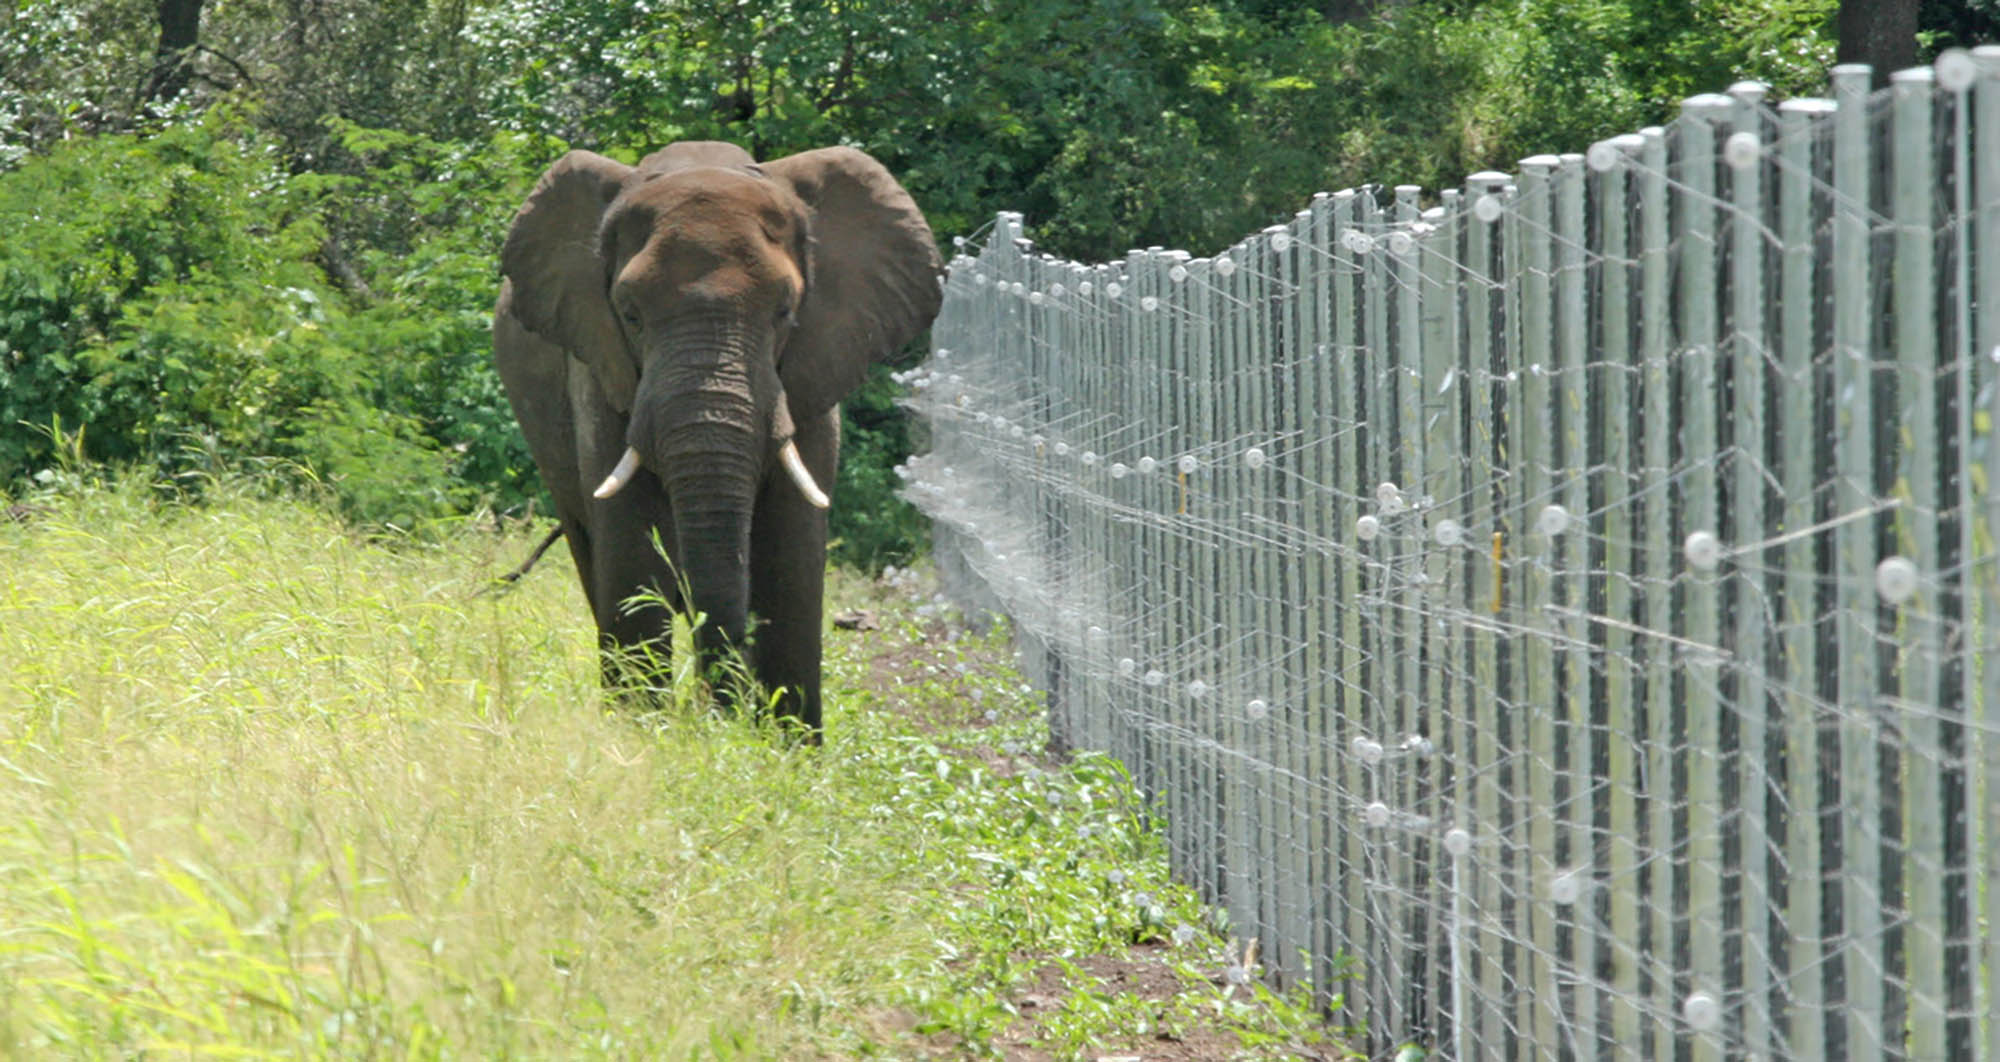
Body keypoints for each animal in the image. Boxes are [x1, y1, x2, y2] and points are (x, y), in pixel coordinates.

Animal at [493, 140, 942, 733]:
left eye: (785, 311)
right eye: (630, 314)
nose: (718, 717)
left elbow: (792, 559)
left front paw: (789, 748)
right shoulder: (598, 370)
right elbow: (633, 554)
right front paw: (642, 737)